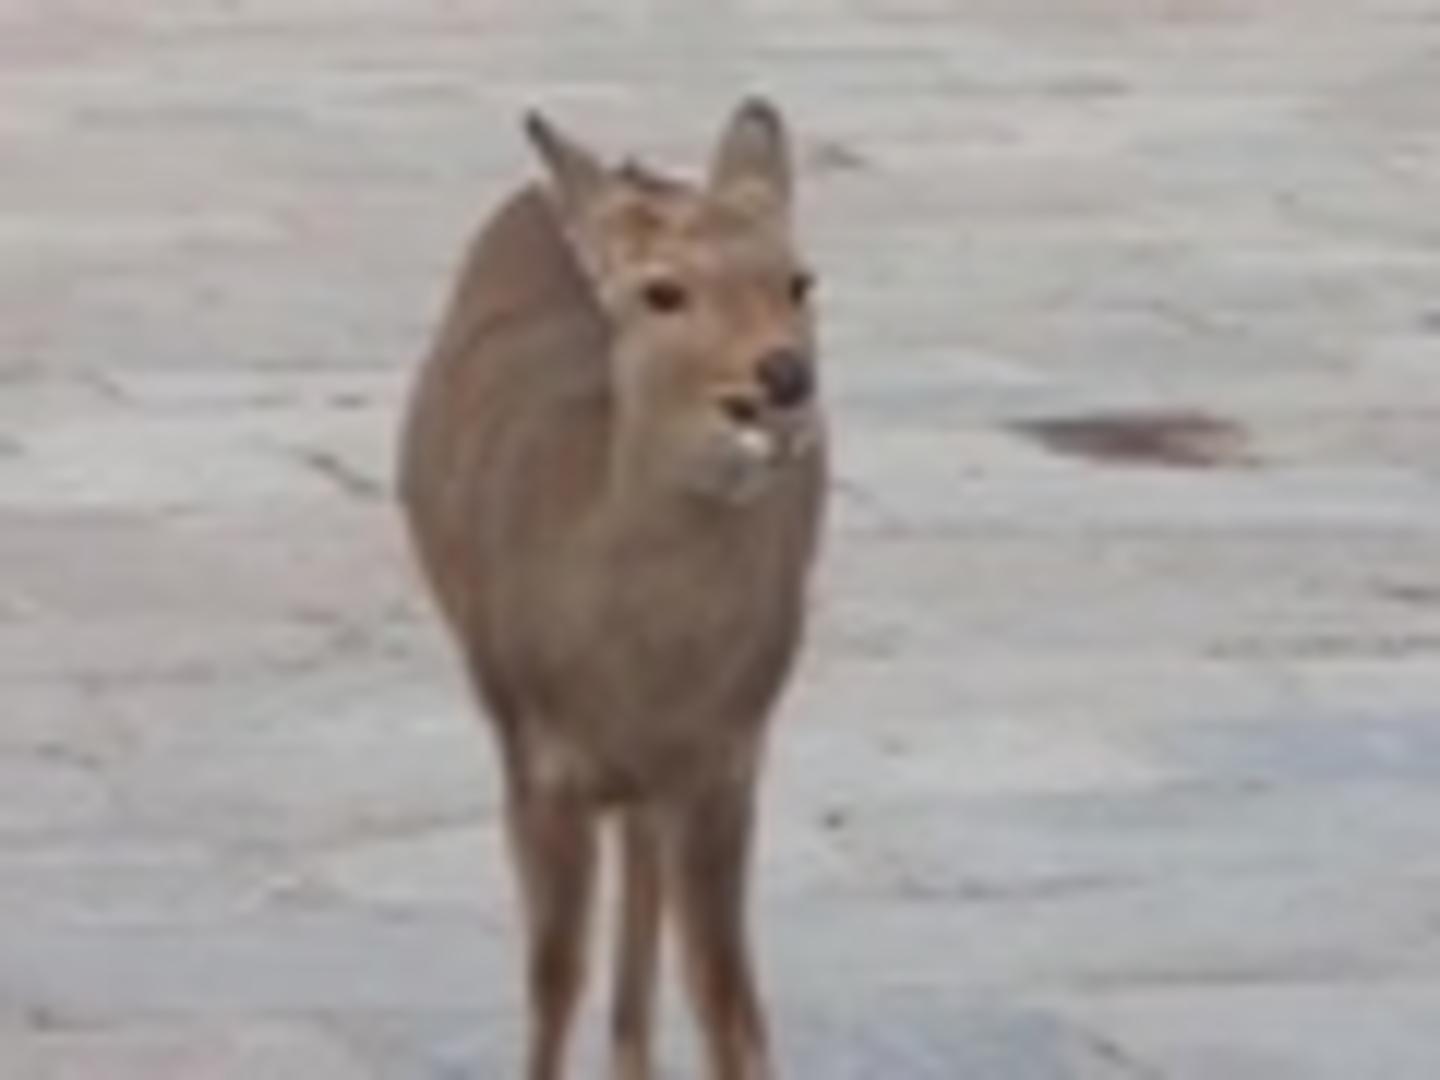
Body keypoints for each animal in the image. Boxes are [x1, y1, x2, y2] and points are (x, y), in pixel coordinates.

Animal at [398, 98, 826, 1080]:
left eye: (799, 279)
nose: (784, 378)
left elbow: (728, 1003)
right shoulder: (534, 749)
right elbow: (554, 977)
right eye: (662, 291)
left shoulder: (727, 756)